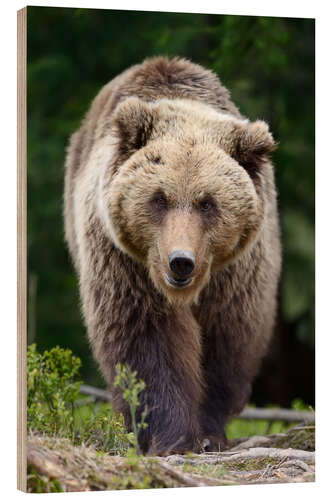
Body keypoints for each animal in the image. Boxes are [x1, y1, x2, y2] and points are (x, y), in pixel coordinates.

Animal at [64, 56, 280, 456]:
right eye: (159, 198)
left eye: (207, 203)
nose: (180, 261)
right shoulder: (127, 263)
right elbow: (148, 340)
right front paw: (172, 436)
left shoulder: (236, 274)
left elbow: (225, 340)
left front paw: (209, 433)